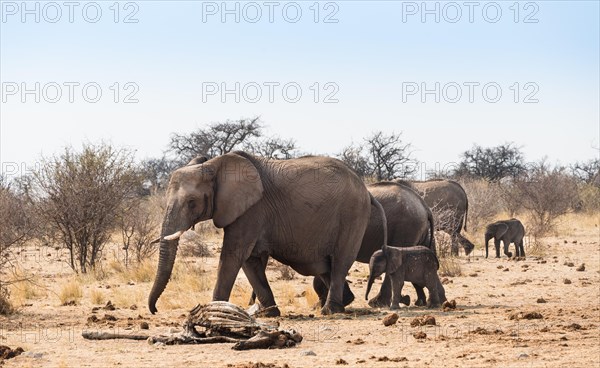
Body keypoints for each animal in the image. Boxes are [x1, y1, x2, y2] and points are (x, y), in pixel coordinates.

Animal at [148, 151, 386, 314]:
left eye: (191, 202)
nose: (154, 310)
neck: (214, 165)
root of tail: (366, 190)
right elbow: (249, 259)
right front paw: (269, 313)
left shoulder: (251, 209)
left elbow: (233, 254)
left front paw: (214, 310)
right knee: (326, 266)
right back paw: (344, 302)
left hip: (353, 214)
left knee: (339, 262)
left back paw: (330, 311)